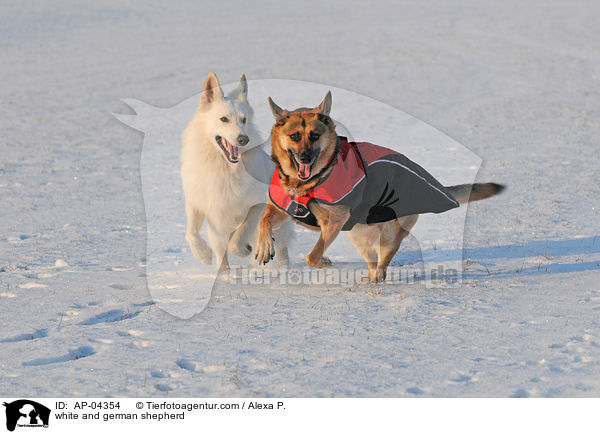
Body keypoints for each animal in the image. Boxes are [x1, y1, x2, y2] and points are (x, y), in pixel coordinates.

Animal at [180, 71, 288, 270]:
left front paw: (243, 249)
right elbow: (191, 234)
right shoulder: (196, 200)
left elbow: (239, 235)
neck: (222, 166)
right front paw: (203, 255)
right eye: (224, 119)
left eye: (244, 120)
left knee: (281, 248)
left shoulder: (258, 204)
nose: (244, 139)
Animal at [255, 91, 504, 282]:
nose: (305, 158)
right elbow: (263, 221)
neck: (309, 182)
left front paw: (324, 261)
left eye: (315, 136)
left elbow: (312, 256)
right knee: (373, 262)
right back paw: (368, 277)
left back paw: (376, 280)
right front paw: (264, 246)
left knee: (383, 264)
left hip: (389, 234)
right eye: (294, 136)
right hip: (358, 238)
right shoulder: (282, 210)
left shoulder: (334, 220)